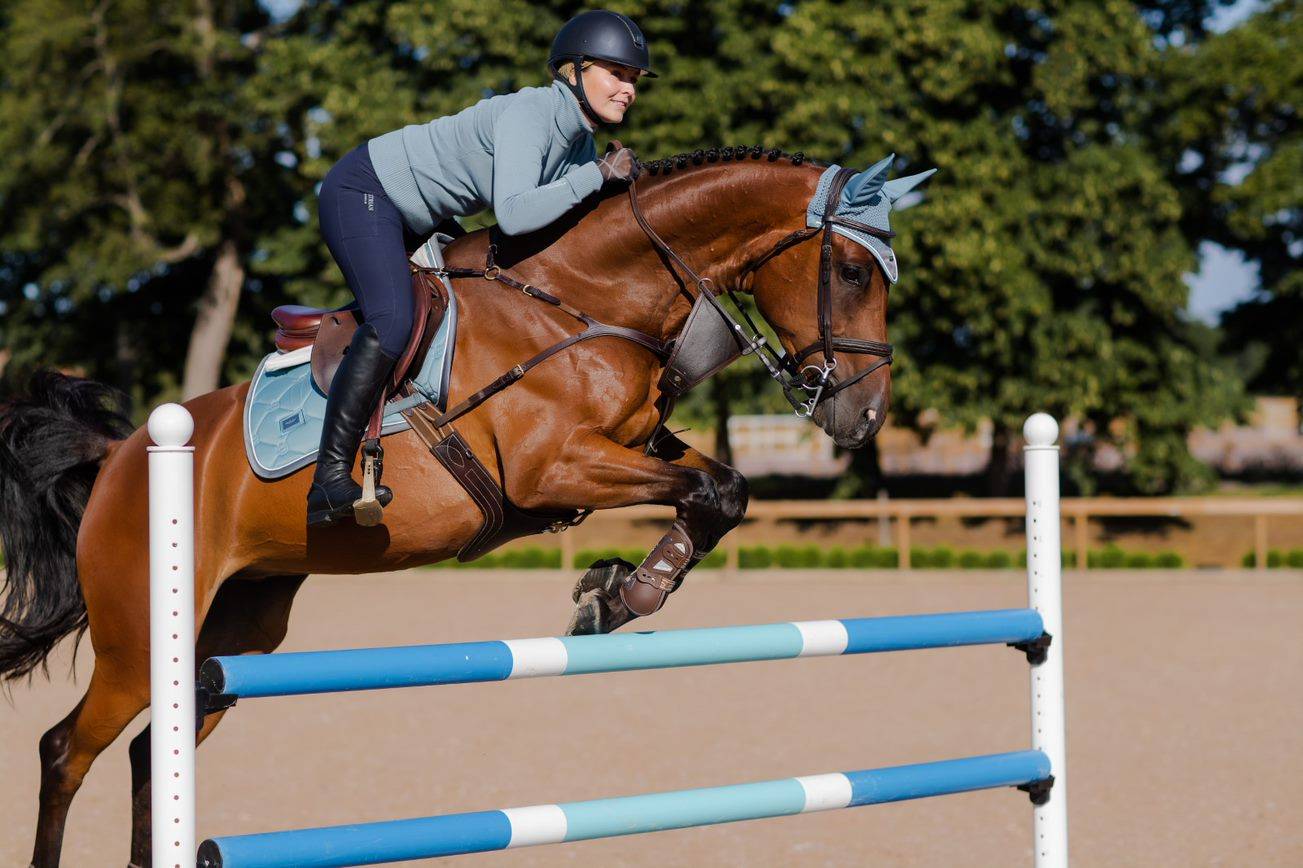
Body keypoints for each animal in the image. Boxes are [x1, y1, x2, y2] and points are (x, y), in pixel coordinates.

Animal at [2, 145, 917, 860]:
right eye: (849, 271)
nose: (865, 417)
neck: (589, 297)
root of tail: (121, 457)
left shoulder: (634, 445)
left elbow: (721, 489)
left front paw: (621, 591)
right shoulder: (550, 471)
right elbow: (707, 488)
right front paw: (622, 590)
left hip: (236, 632)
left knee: (150, 752)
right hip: (138, 640)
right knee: (64, 750)